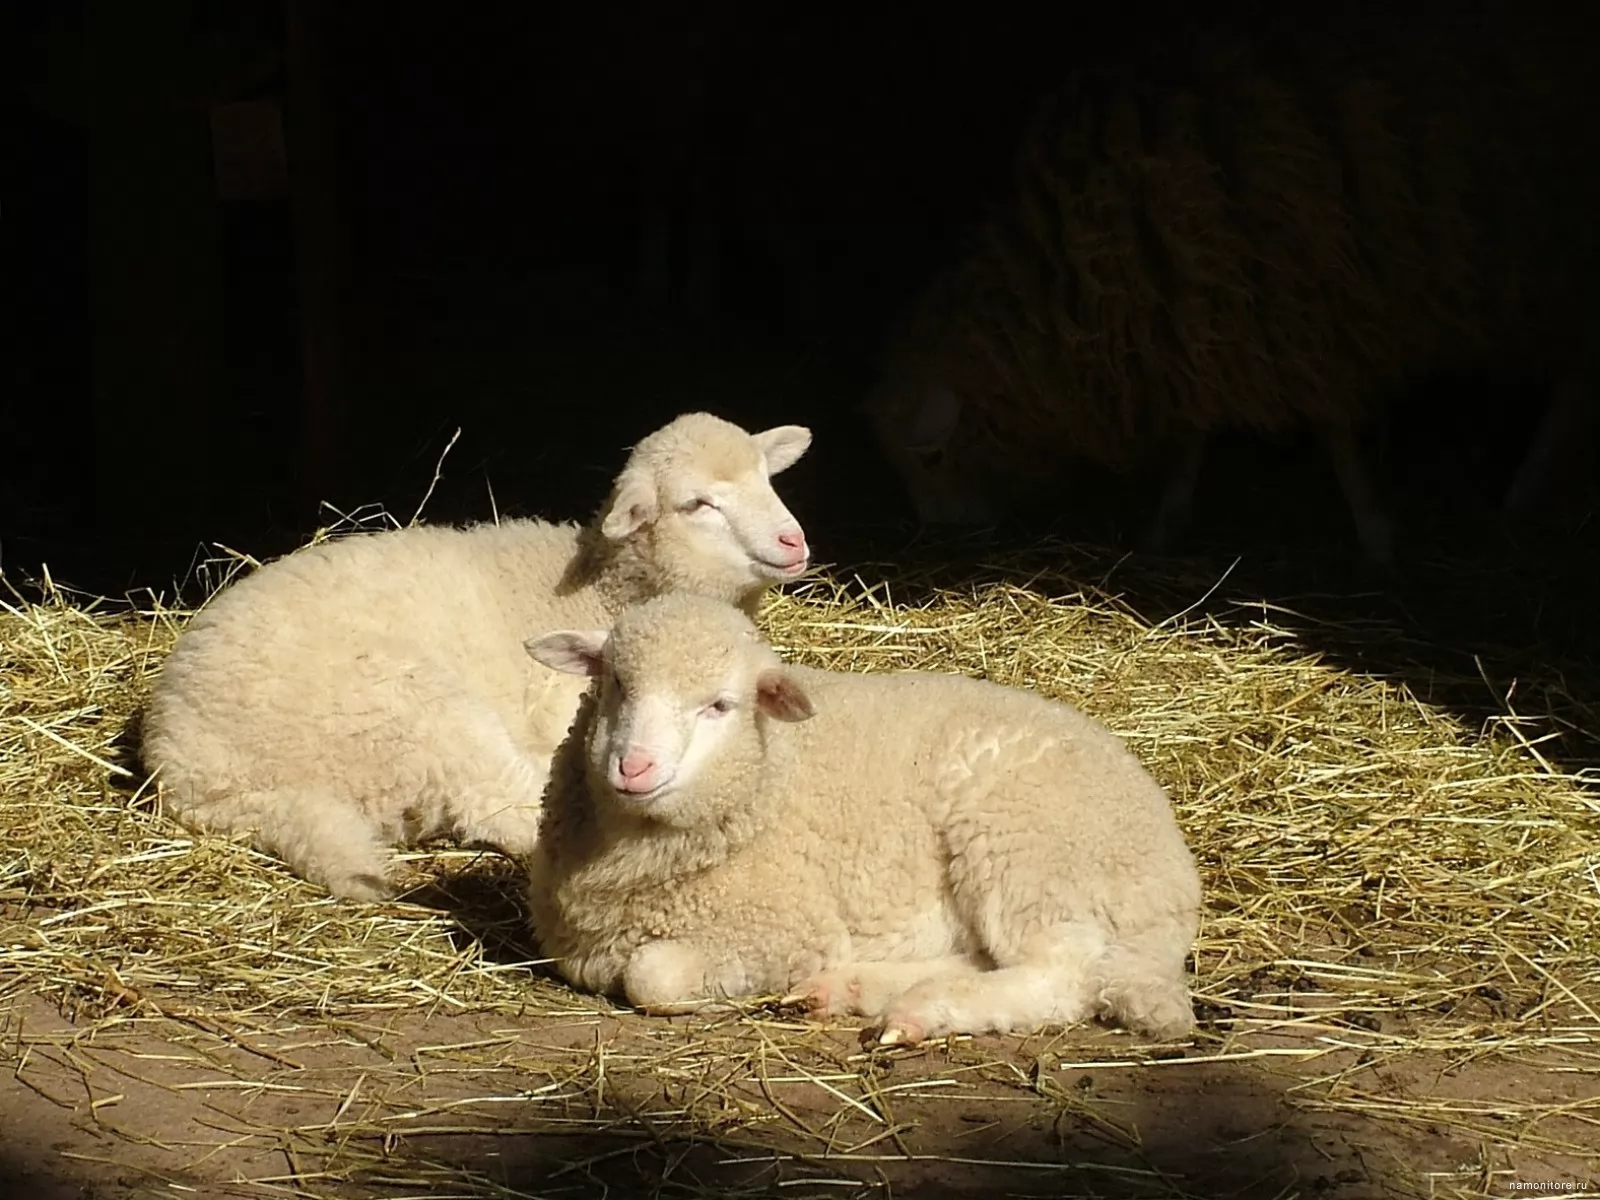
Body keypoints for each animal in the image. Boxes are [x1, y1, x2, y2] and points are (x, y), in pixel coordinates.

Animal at [137, 412, 812, 902]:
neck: (603, 586)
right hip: (412, 709)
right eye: (699, 504)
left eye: (767, 477)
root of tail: (192, 771)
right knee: (504, 804)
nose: (794, 541)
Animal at [524, 592, 1203, 1043]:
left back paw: (922, 1012)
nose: (633, 767)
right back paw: (852, 989)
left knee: (1061, 976)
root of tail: (1176, 882)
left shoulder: (780, 932)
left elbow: (652, 977)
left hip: (1025, 848)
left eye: (719, 705)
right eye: (616, 682)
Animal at [870, 23, 1600, 566]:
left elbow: (1332, 427)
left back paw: (1524, 490)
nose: (942, 537)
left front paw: (1376, 531)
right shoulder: (1204, 317)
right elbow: (1195, 431)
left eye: (931, 457)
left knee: (1573, 378)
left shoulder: (1304, 305)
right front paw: (1167, 522)